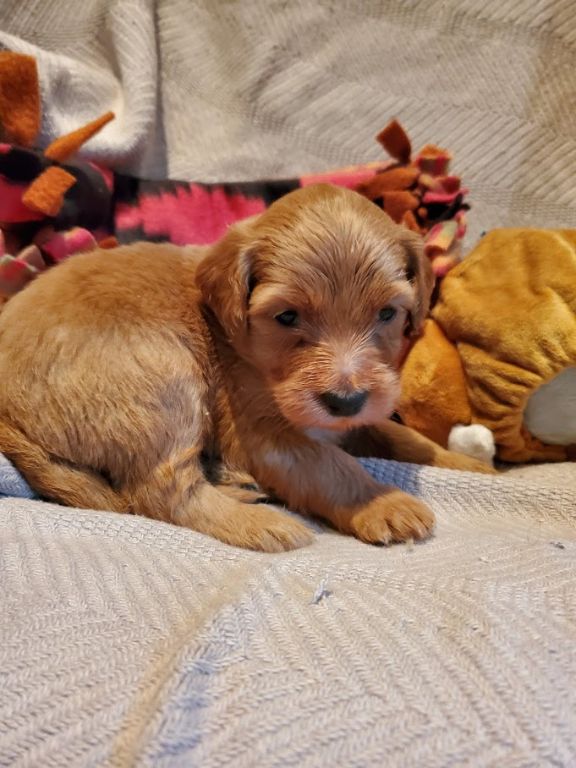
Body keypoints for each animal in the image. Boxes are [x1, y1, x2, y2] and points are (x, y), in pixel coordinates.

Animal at [0, 186, 490, 552]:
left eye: (387, 314)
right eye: (287, 316)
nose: (345, 401)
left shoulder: (356, 415)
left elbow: (403, 437)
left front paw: (468, 465)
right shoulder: (262, 435)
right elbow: (330, 464)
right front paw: (384, 503)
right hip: (164, 375)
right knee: (158, 491)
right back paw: (258, 523)